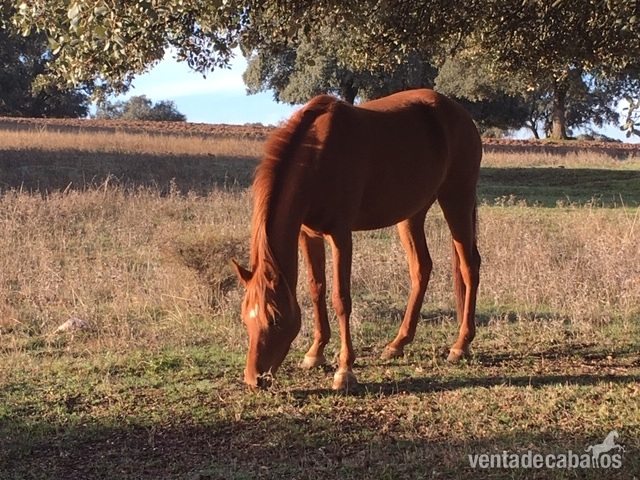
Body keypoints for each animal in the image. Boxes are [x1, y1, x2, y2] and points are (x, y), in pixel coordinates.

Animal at [233, 89, 482, 391]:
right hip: (412, 214)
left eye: (275, 319)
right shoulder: (308, 234)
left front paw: (344, 371)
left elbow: (341, 299)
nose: (254, 379)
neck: (318, 156)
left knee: (469, 268)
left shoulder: (340, 234)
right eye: (246, 317)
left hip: (457, 198)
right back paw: (398, 343)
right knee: (421, 268)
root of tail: (461, 114)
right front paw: (315, 353)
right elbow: (316, 289)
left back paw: (460, 344)